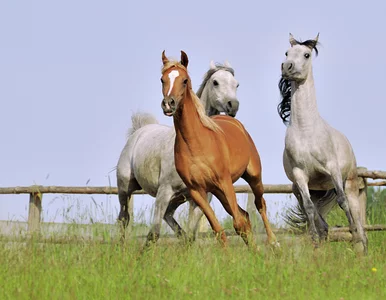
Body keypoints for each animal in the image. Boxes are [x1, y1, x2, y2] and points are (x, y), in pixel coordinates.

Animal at [116, 59, 240, 246]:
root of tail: (138, 131)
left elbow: (191, 236)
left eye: (236, 84)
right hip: (125, 189)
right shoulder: (163, 192)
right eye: (215, 82)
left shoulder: (200, 198)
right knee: (124, 219)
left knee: (170, 217)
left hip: (176, 199)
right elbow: (154, 234)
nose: (233, 105)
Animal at [160, 49, 278, 246]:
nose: (169, 103)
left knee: (259, 205)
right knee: (245, 215)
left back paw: (273, 242)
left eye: (184, 80)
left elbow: (237, 223)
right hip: (217, 190)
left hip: (253, 176)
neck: (196, 144)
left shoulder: (225, 181)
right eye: (162, 79)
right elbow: (218, 229)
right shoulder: (197, 191)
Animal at [278, 32, 368, 253]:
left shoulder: (332, 169)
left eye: (307, 54)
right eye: (287, 52)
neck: (306, 131)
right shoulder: (300, 176)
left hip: (349, 183)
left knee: (358, 218)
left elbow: (343, 202)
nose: (287, 67)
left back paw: (360, 246)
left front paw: (353, 235)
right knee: (323, 223)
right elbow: (309, 208)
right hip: (306, 190)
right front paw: (314, 242)